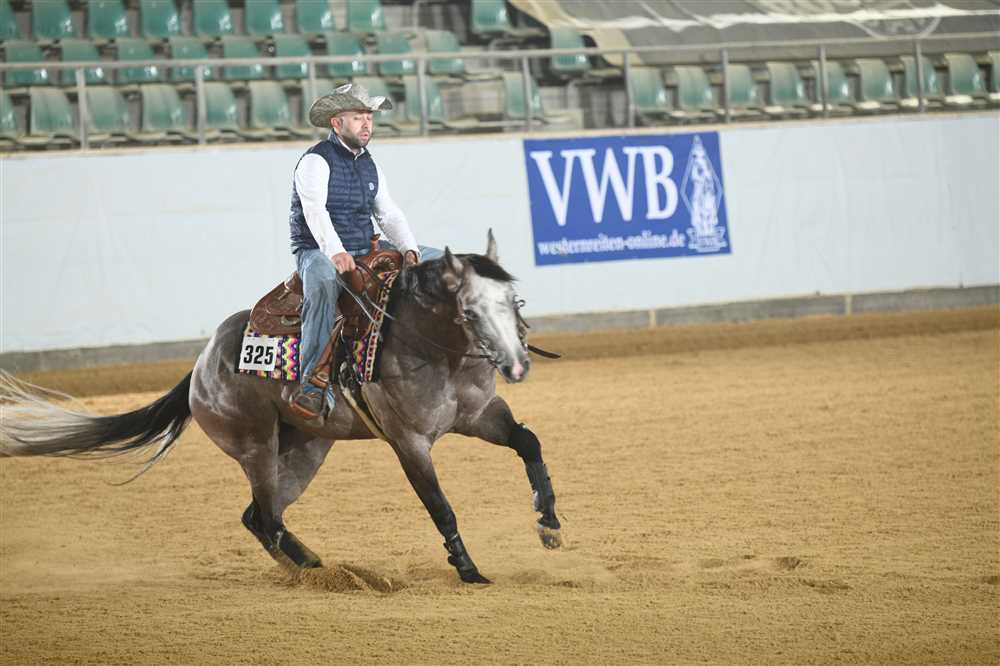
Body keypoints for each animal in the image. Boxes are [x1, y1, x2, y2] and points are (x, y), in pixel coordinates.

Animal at [0, 232, 561, 584]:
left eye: (514, 301)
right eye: (470, 310)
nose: (516, 363)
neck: (430, 345)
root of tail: (202, 364)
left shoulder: (479, 415)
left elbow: (529, 441)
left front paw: (549, 523)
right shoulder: (410, 443)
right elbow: (440, 505)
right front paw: (469, 571)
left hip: (305, 448)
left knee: (257, 518)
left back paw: (312, 567)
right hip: (256, 447)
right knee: (267, 518)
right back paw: (328, 575)